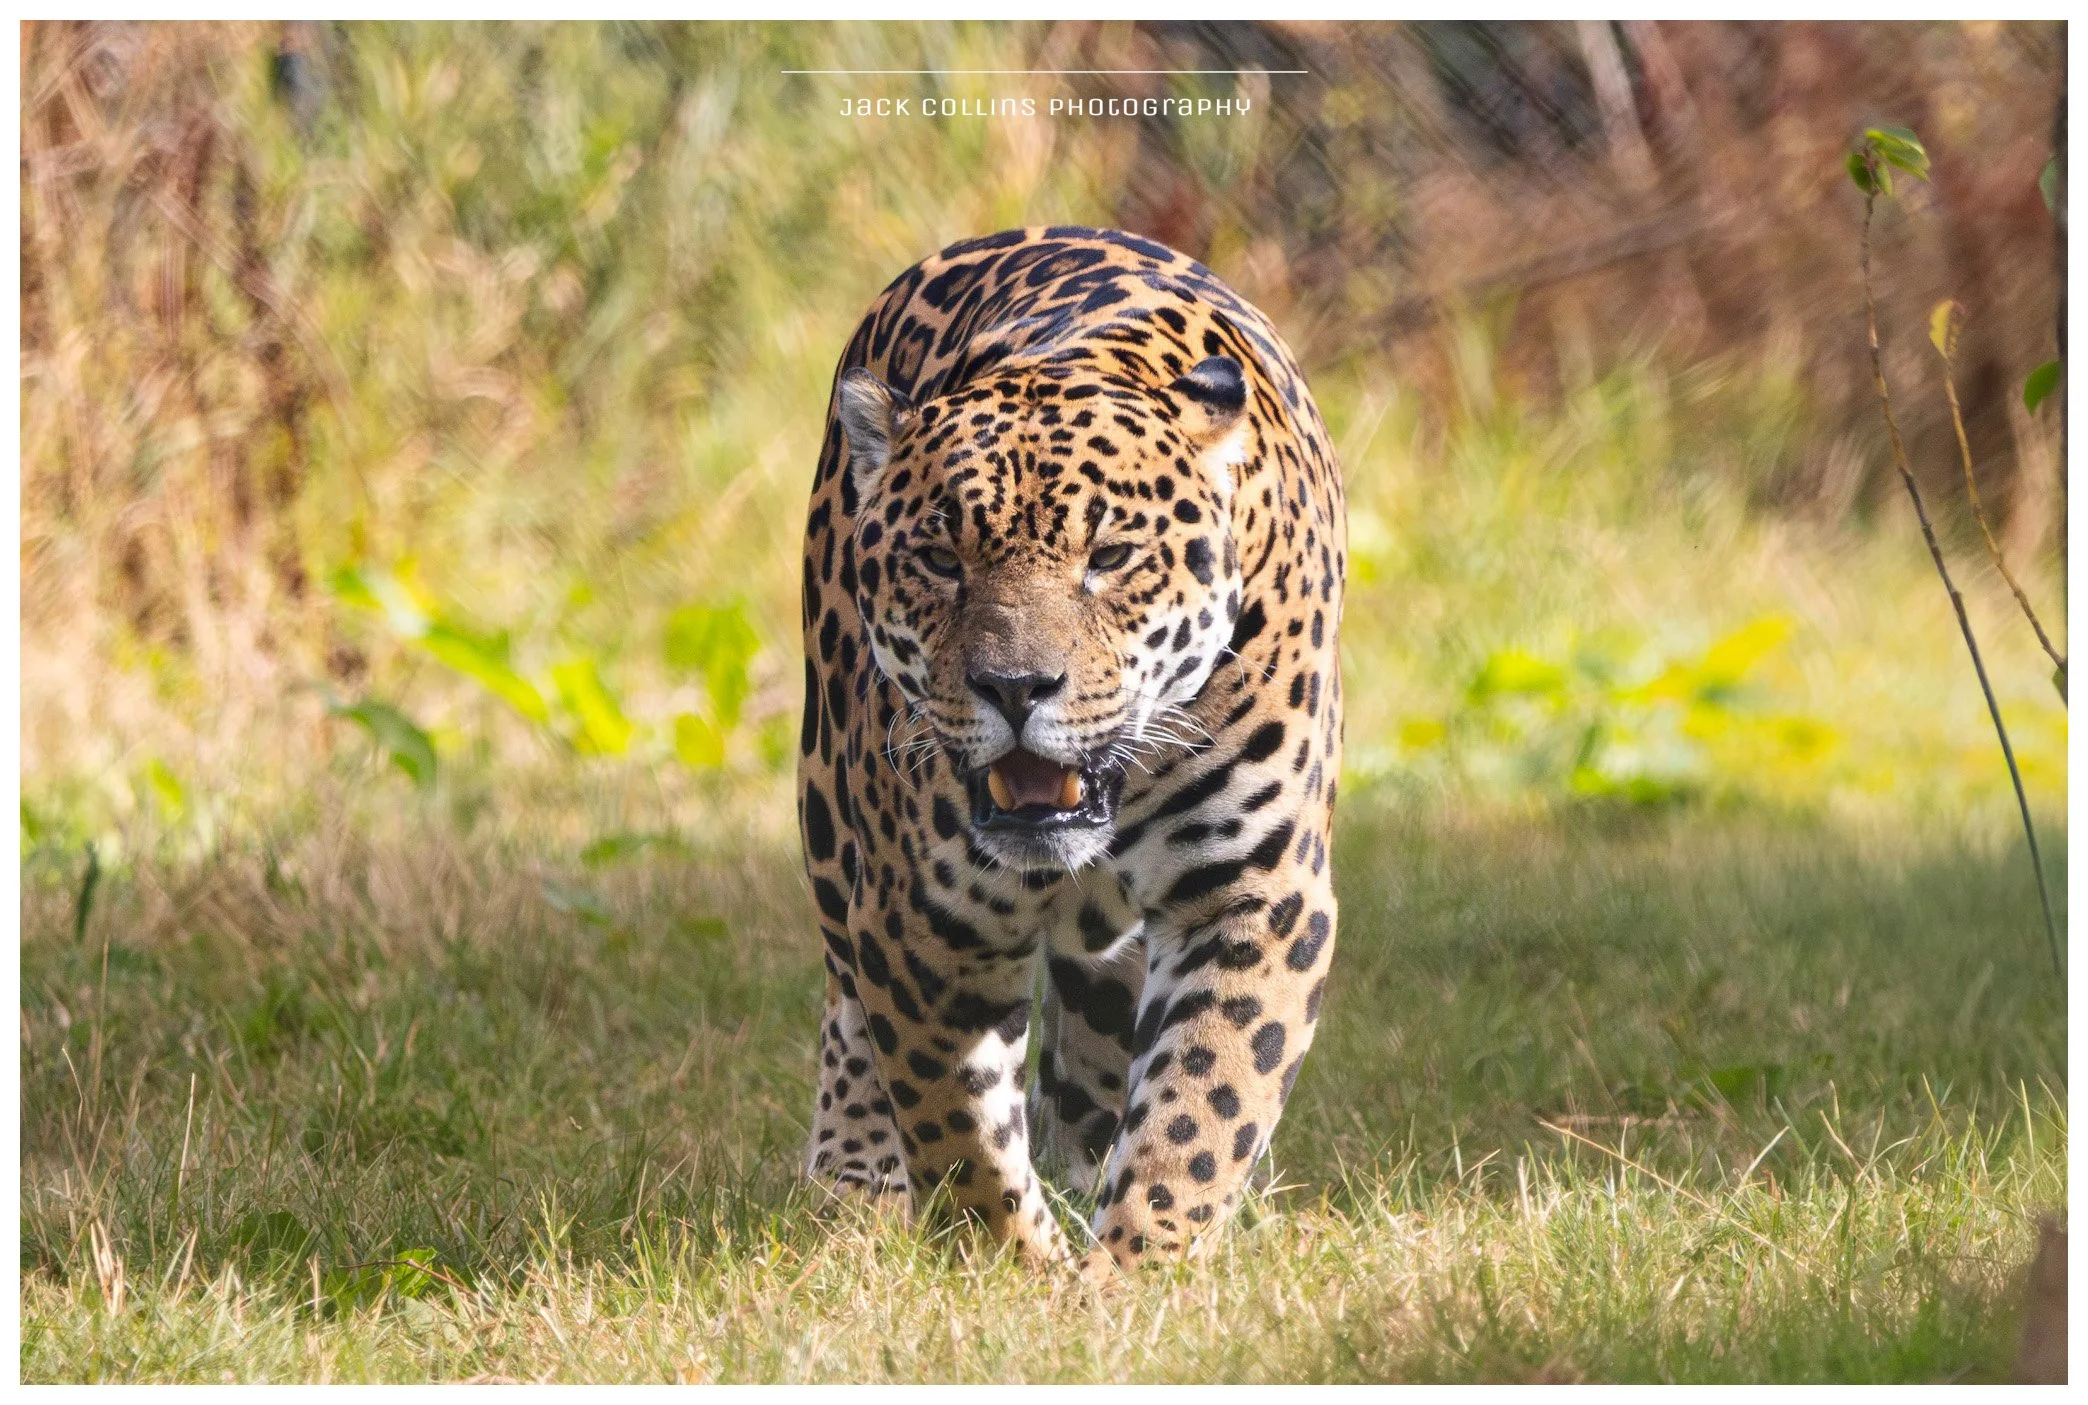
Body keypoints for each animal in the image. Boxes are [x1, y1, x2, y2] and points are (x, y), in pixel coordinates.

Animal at [796, 225, 1344, 1275]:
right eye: (941, 560)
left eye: (1111, 558)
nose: (1016, 688)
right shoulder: (922, 920)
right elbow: (958, 1126)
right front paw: (1019, 1266)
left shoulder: (1254, 893)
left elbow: (1201, 1107)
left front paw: (1134, 1272)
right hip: (829, 818)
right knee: (847, 1005)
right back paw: (852, 1180)